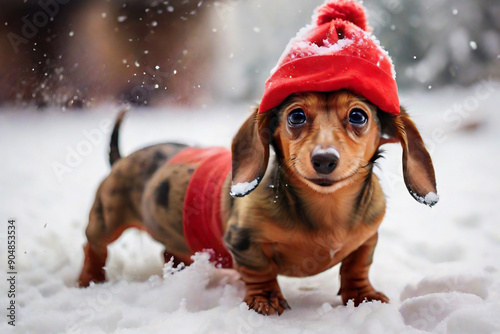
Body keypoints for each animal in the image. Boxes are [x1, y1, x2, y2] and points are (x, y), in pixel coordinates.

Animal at [78, 90, 438, 314]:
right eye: (296, 116)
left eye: (358, 116)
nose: (324, 159)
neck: (326, 210)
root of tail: (122, 158)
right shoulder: (243, 241)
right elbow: (260, 270)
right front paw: (266, 300)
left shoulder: (367, 238)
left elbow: (356, 266)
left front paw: (362, 295)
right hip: (105, 218)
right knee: (93, 246)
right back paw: (89, 280)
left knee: (169, 252)